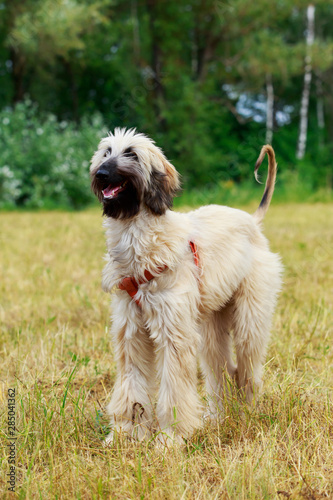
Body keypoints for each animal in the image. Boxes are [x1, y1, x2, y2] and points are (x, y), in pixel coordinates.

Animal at [89, 128, 282, 446]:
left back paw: (248, 411)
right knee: (220, 371)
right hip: (211, 325)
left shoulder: (173, 330)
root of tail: (252, 221)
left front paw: (171, 438)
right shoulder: (131, 330)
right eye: (106, 152)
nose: (101, 174)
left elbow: (174, 389)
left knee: (247, 367)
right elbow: (131, 382)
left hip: (249, 316)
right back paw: (216, 416)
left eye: (131, 153)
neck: (141, 240)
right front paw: (124, 433)